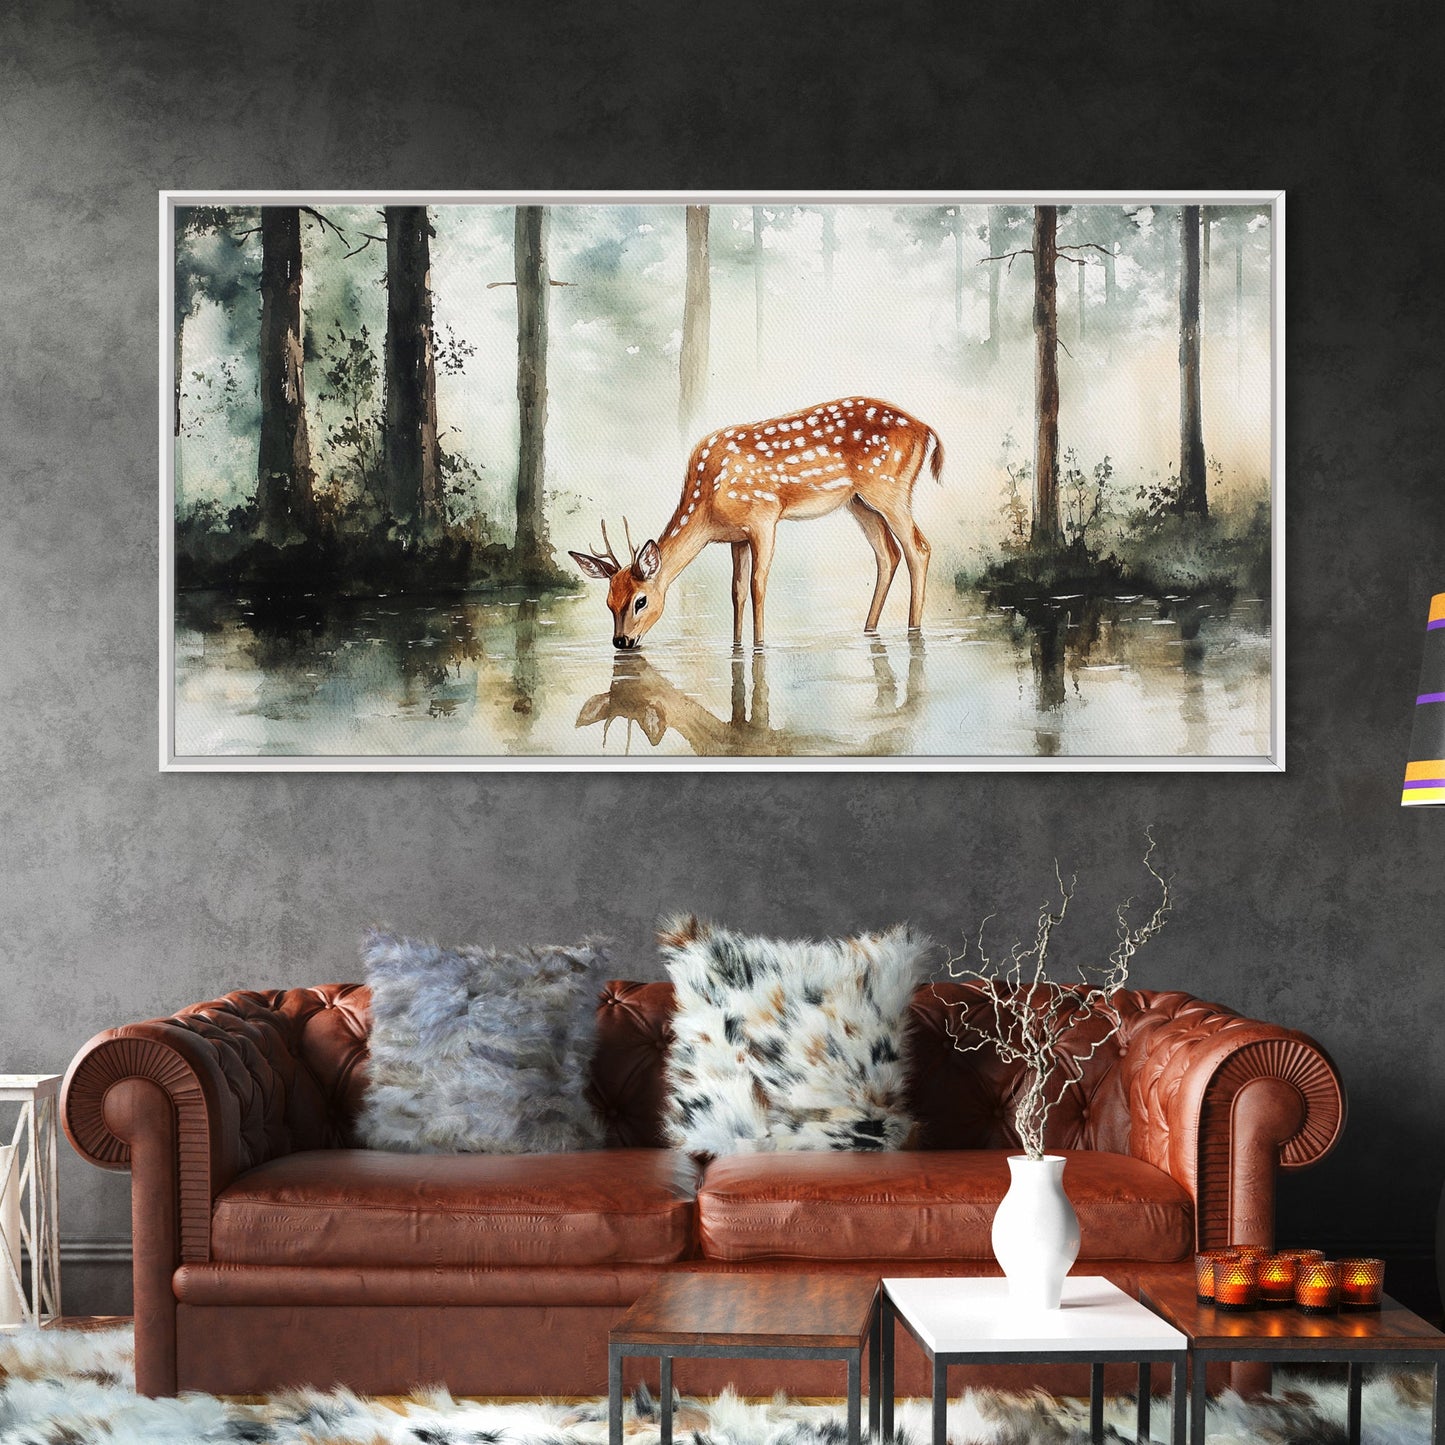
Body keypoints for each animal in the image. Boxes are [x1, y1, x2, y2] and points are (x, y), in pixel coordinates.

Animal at [568, 397, 943, 648]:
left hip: (888, 488)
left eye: (640, 600)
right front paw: (737, 644)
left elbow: (757, 584)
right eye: (609, 602)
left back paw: (913, 629)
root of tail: (927, 430)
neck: (708, 502)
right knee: (888, 553)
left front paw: (759, 645)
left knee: (919, 547)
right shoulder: (737, 537)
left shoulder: (764, 516)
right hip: (859, 502)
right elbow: (736, 591)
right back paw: (869, 629)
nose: (621, 642)